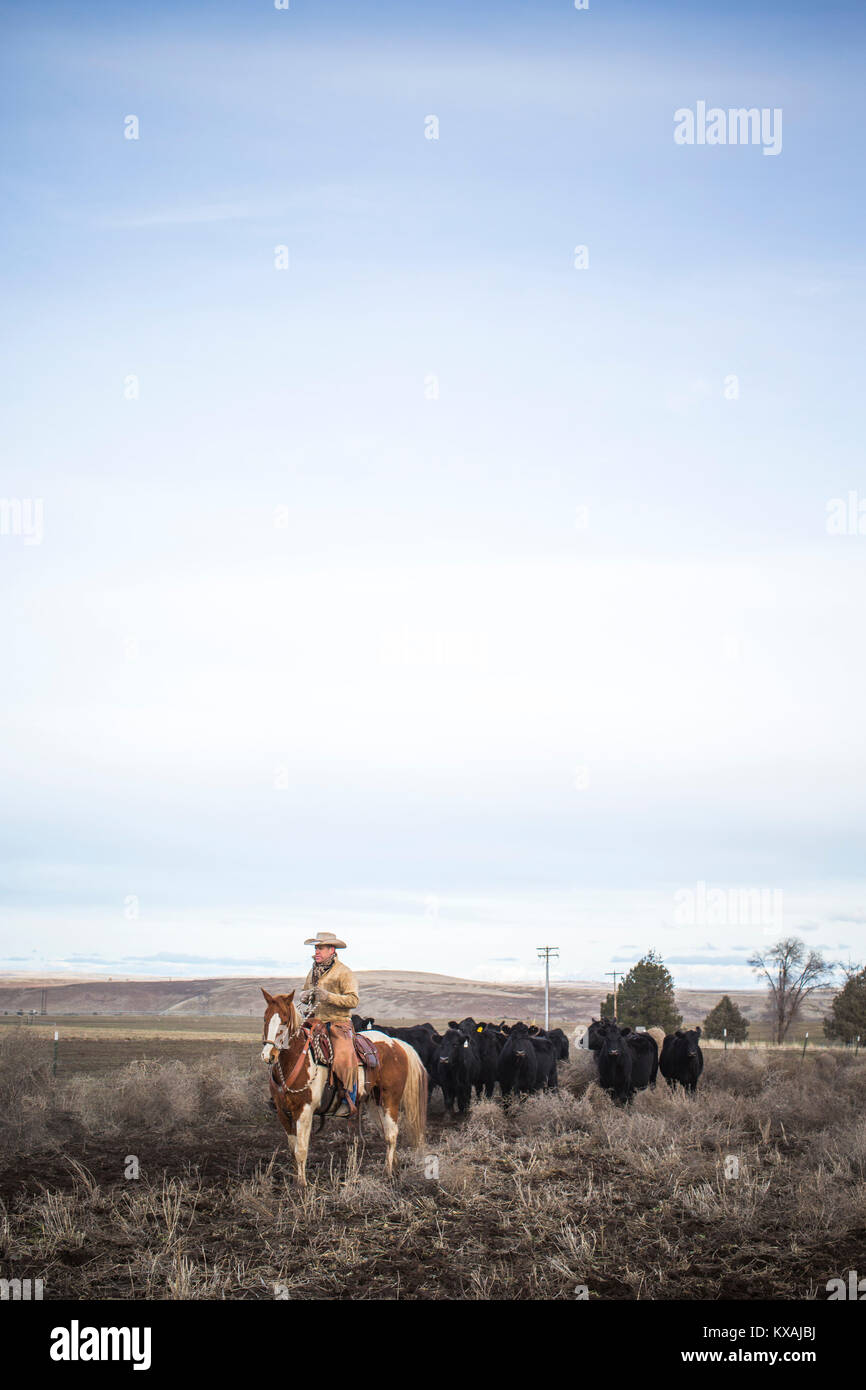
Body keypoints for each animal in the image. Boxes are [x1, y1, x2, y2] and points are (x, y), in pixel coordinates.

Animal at [262, 989, 428, 1184]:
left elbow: (300, 1150)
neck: (296, 1060)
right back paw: (394, 1166)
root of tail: (396, 1043)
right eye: (265, 1018)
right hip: (374, 1101)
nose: (269, 1055)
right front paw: (296, 1178)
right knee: (385, 1132)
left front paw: (302, 1185)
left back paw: (387, 1172)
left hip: (390, 1100)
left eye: (285, 1020)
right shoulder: (283, 1112)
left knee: (392, 1133)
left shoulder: (304, 1110)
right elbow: (291, 1147)